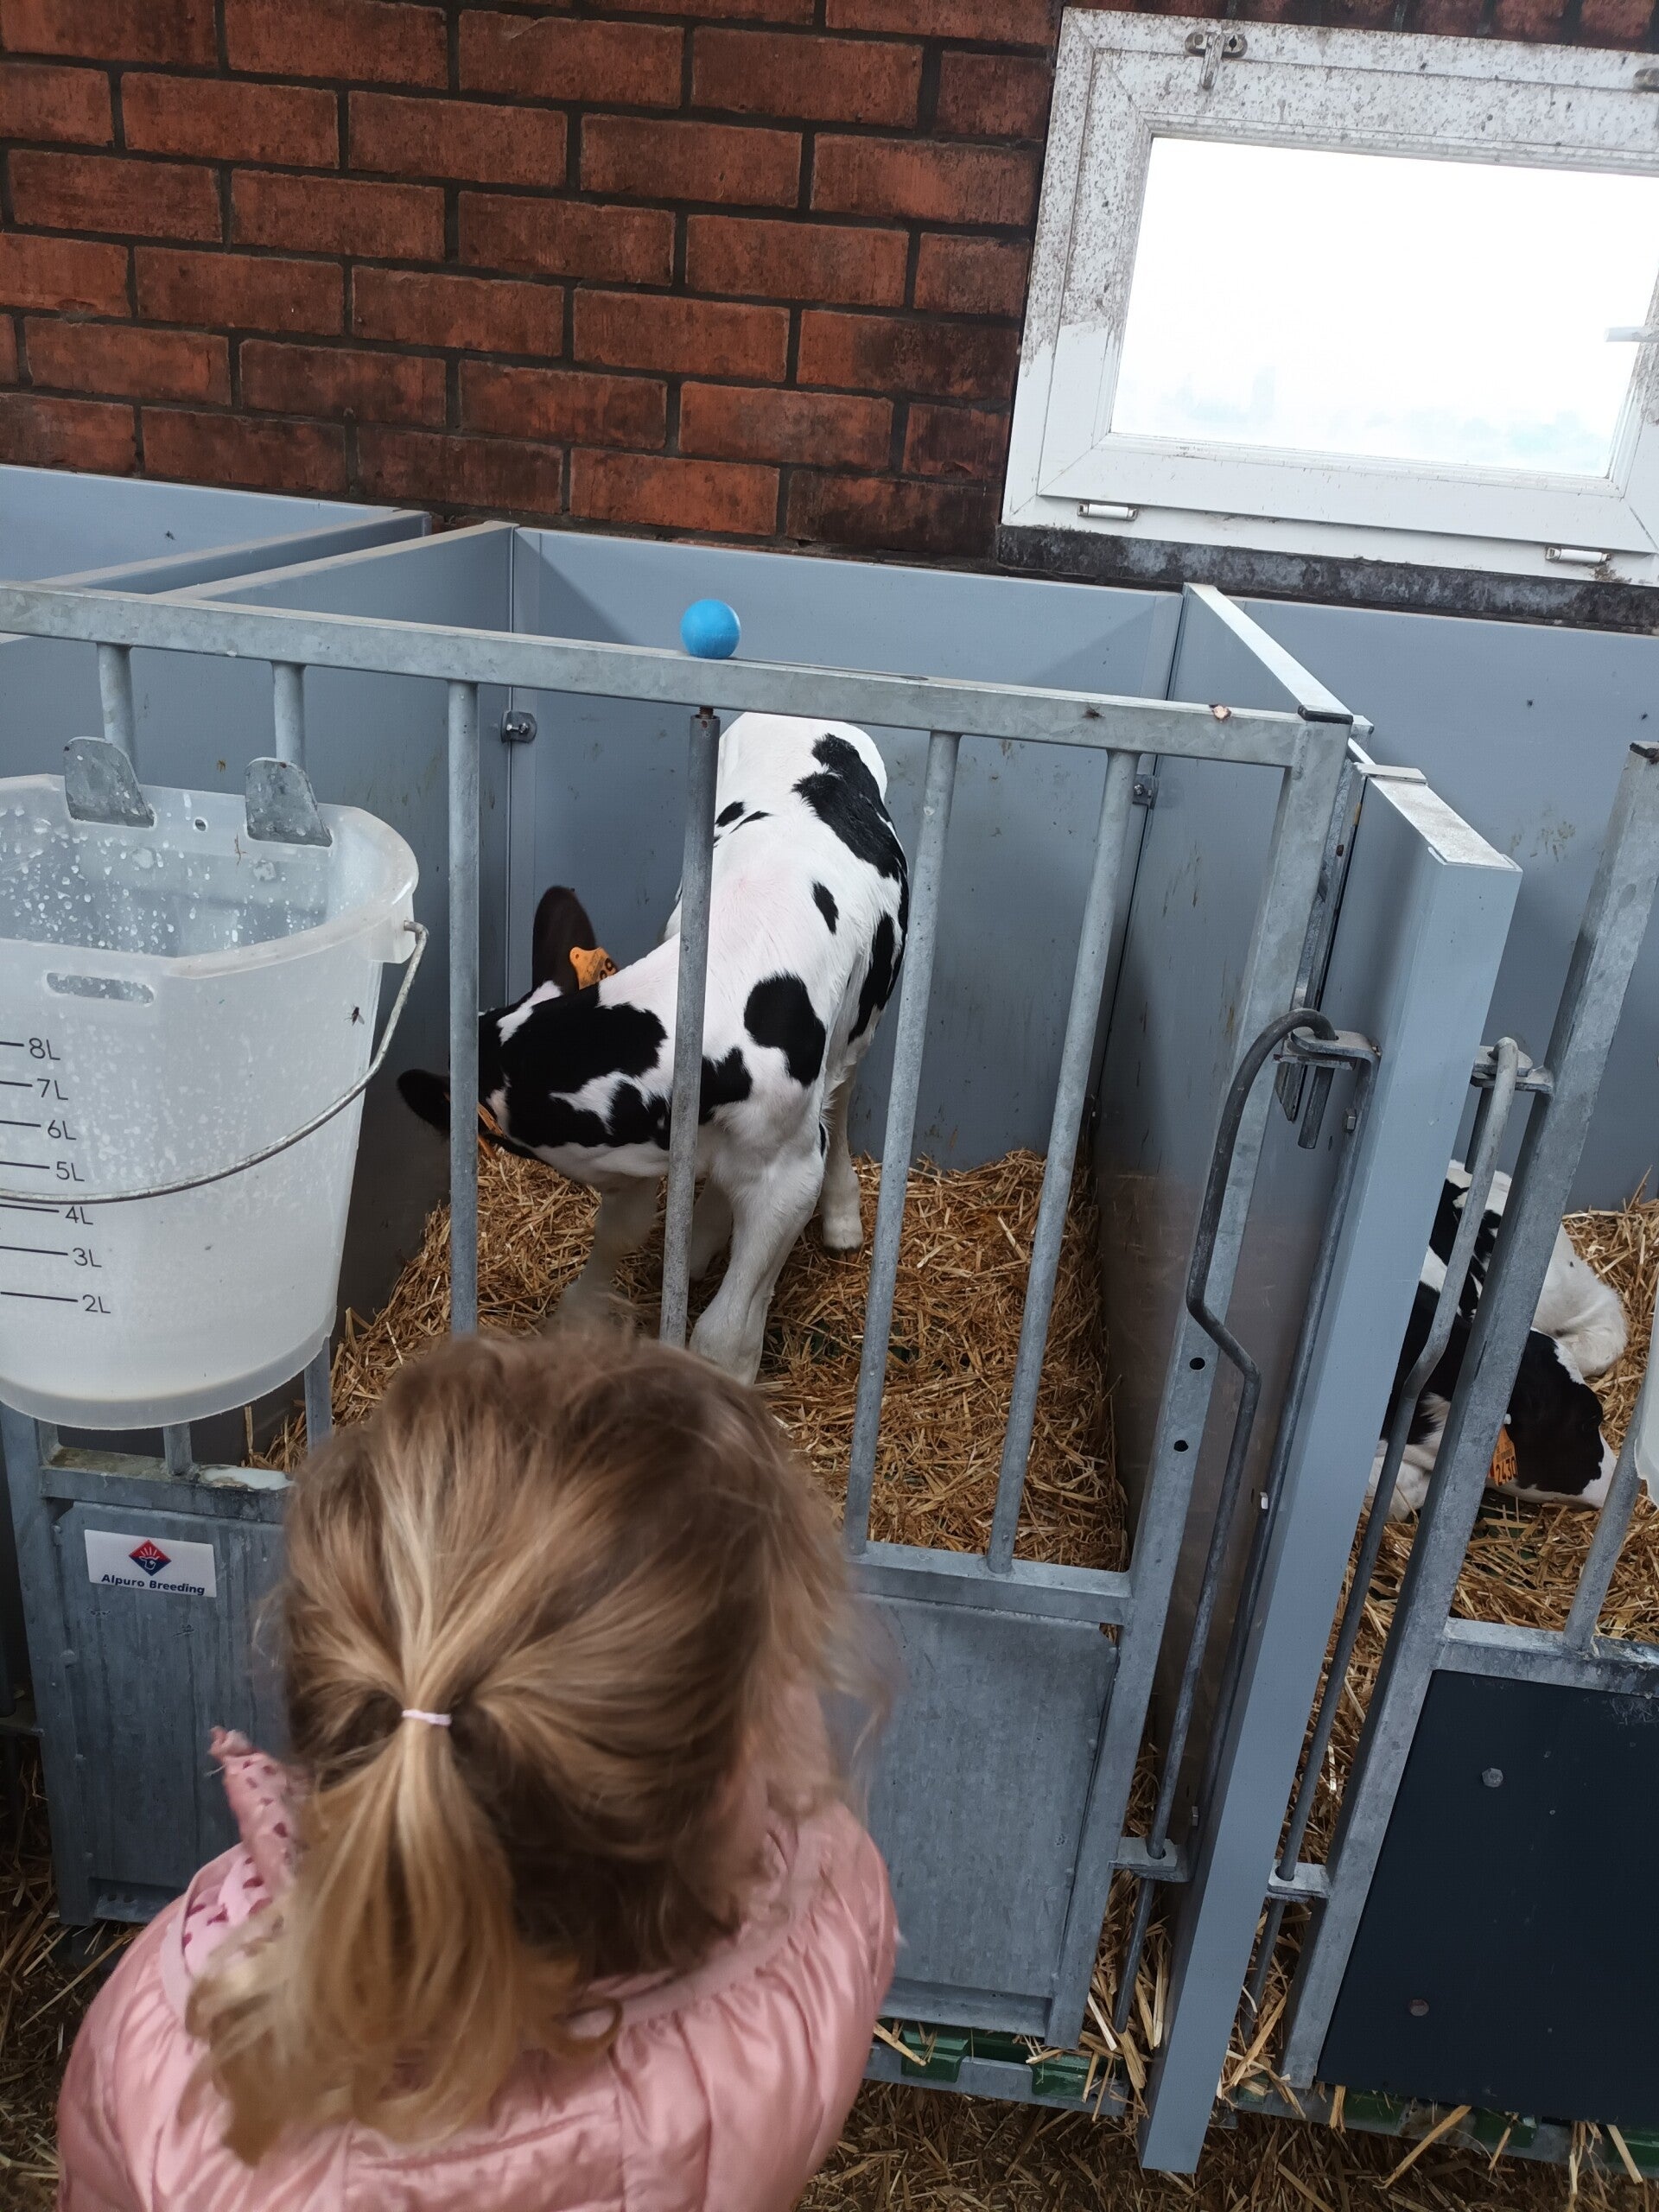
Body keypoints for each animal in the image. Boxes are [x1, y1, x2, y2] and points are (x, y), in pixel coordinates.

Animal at [398, 713, 909, 1385]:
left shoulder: (788, 1174)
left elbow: (722, 1334)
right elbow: (621, 1233)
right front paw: (581, 1321)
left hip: (863, 1022)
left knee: (843, 1095)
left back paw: (841, 1213)